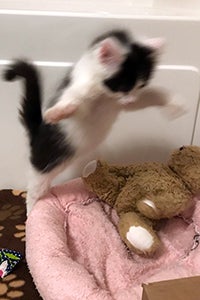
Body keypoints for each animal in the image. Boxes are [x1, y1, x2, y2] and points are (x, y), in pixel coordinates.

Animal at [3, 29, 164, 214]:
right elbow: (75, 101)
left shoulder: (120, 104)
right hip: (43, 167)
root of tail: (37, 132)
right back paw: (31, 215)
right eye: (124, 86)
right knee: (34, 192)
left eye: (141, 85)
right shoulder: (82, 94)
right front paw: (56, 113)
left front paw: (174, 103)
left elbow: (151, 97)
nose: (130, 100)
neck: (104, 94)